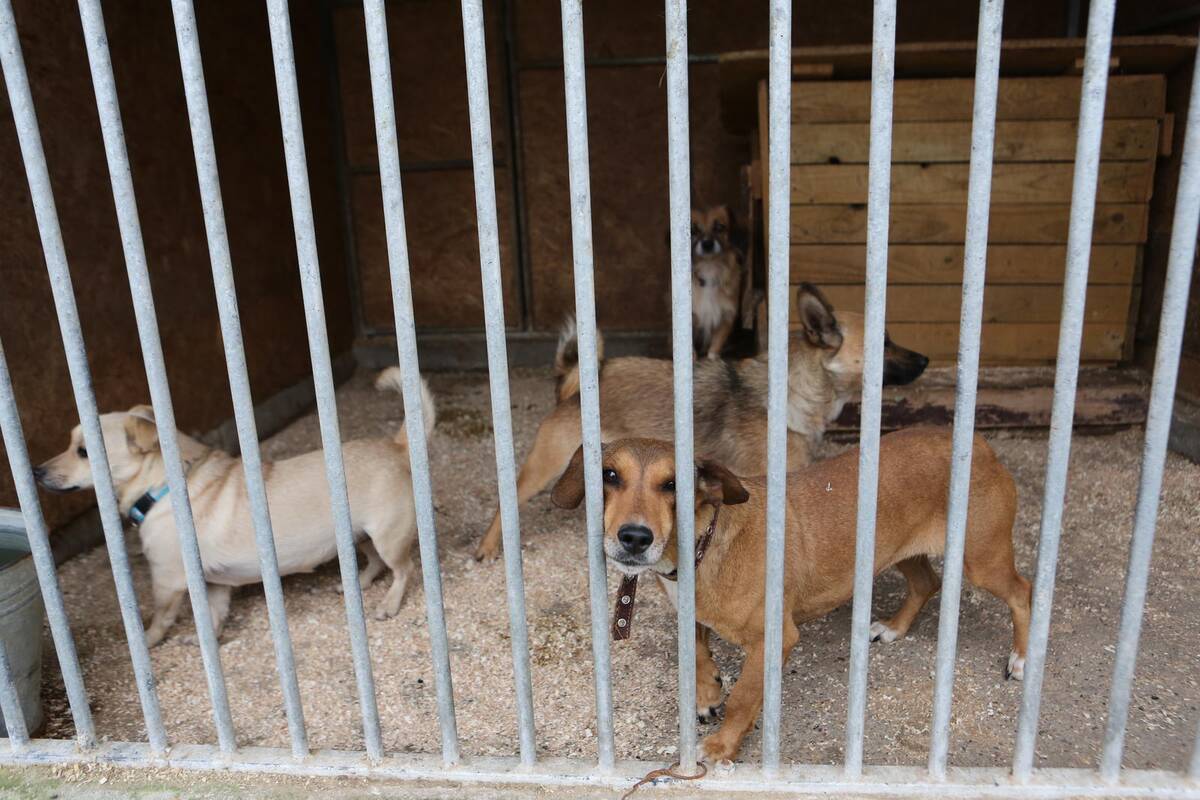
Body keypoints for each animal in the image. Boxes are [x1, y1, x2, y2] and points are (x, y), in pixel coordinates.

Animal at [35, 367, 434, 645]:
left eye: (82, 452)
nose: (37, 470)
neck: (164, 486)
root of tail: (396, 445)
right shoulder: (214, 585)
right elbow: (213, 617)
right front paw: (206, 642)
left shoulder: (167, 581)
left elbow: (160, 619)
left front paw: (147, 644)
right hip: (360, 535)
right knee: (376, 562)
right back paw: (360, 584)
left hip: (387, 536)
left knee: (404, 568)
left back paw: (389, 604)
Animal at [472, 284, 929, 560]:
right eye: (884, 342)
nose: (926, 359)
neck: (799, 389)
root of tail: (580, 381)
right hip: (546, 464)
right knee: (509, 498)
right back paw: (489, 547)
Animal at [550, 429, 1032, 763]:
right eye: (610, 476)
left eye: (672, 485)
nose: (634, 537)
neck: (702, 549)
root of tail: (978, 443)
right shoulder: (692, 613)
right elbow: (698, 650)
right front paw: (706, 694)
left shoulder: (773, 639)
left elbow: (744, 698)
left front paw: (722, 745)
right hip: (896, 551)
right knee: (927, 583)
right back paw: (894, 628)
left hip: (982, 559)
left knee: (1022, 592)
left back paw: (1022, 659)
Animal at [691, 206, 744, 359]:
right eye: (693, 231)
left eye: (719, 227)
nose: (707, 244)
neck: (709, 266)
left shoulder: (727, 315)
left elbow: (716, 344)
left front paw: (712, 359)